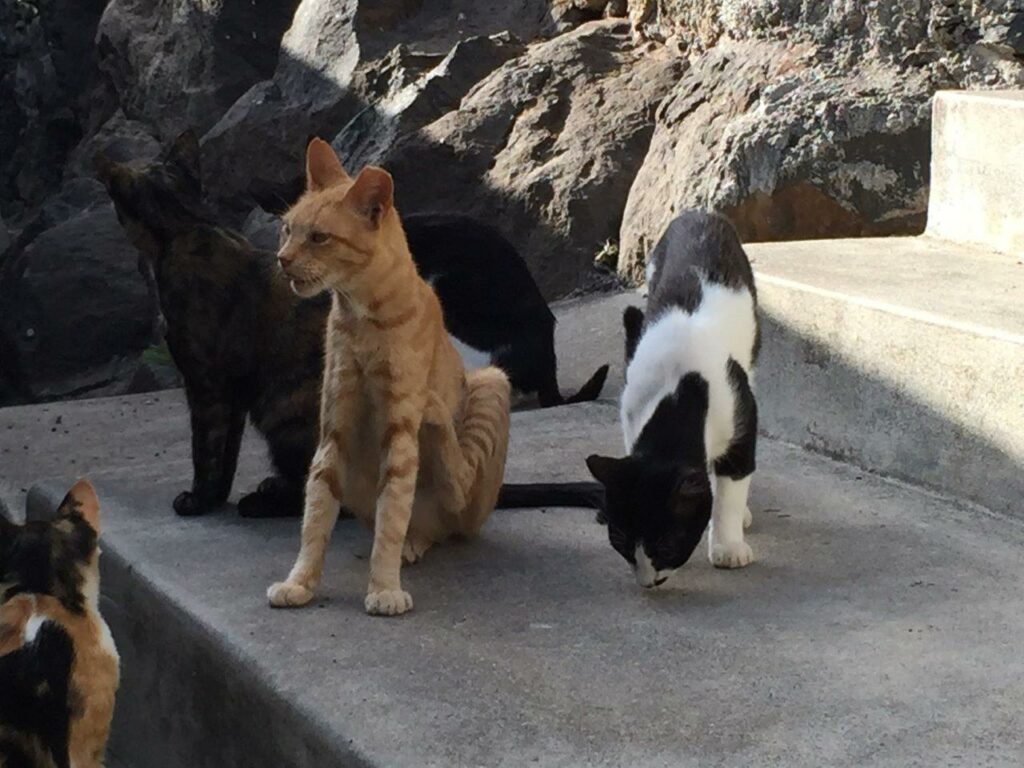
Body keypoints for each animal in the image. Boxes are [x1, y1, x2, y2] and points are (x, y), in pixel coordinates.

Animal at [270, 140, 516, 618]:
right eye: (287, 230)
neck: (362, 318)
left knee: (458, 485)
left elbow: (392, 516)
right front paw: (300, 583)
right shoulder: (334, 436)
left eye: (319, 237)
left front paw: (383, 587)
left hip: (492, 384)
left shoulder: (400, 437)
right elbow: (315, 517)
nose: (282, 260)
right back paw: (413, 542)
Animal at [585, 214, 761, 593]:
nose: (647, 582)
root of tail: (699, 214)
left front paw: (727, 545)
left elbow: (733, 482)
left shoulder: (738, 416)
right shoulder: (632, 410)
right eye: (620, 542)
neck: (682, 391)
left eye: (667, 544)